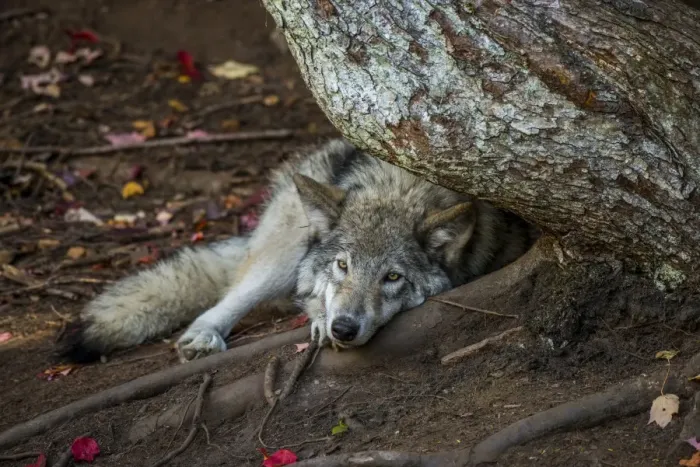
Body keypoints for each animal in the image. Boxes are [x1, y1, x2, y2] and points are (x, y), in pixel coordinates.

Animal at [59, 139, 535, 363]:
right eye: (343, 266)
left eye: (392, 278)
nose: (344, 328)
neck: (401, 185)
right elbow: (312, 296)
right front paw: (321, 319)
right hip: (281, 254)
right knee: (236, 293)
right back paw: (204, 336)